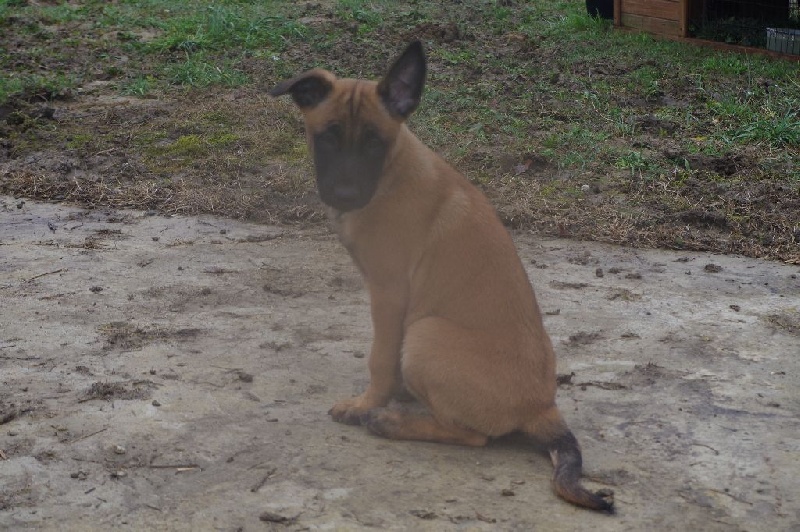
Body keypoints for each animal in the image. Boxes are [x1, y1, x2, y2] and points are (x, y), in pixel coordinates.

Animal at [272, 39, 616, 512]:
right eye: (326, 137)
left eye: (375, 144)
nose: (344, 194)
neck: (391, 172)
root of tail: (542, 408)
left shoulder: (389, 291)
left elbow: (381, 357)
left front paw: (367, 402)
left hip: (427, 333)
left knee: (473, 436)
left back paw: (390, 422)